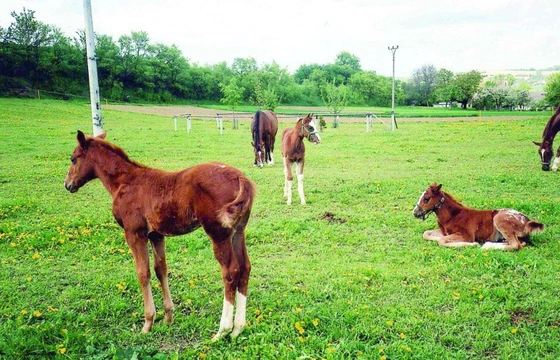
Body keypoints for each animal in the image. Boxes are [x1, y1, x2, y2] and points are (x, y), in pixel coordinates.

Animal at [64, 131, 256, 338]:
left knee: (230, 272)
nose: (67, 184)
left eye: (73, 159)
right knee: (244, 268)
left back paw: (222, 331)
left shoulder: (134, 233)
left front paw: (148, 323)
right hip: (238, 232)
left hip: (219, 234)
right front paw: (168, 317)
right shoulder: (156, 235)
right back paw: (237, 329)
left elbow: (143, 273)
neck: (125, 182)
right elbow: (160, 269)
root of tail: (240, 178)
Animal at [412, 183, 544, 250]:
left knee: (516, 245)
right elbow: (427, 234)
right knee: (521, 243)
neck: (452, 216)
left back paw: (487, 245)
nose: (415, 213)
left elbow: (442, 241)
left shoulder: (466, 235)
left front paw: (473, 244)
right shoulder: (444, 231)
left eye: (426, 198)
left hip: (499, 220)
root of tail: (526, 221)